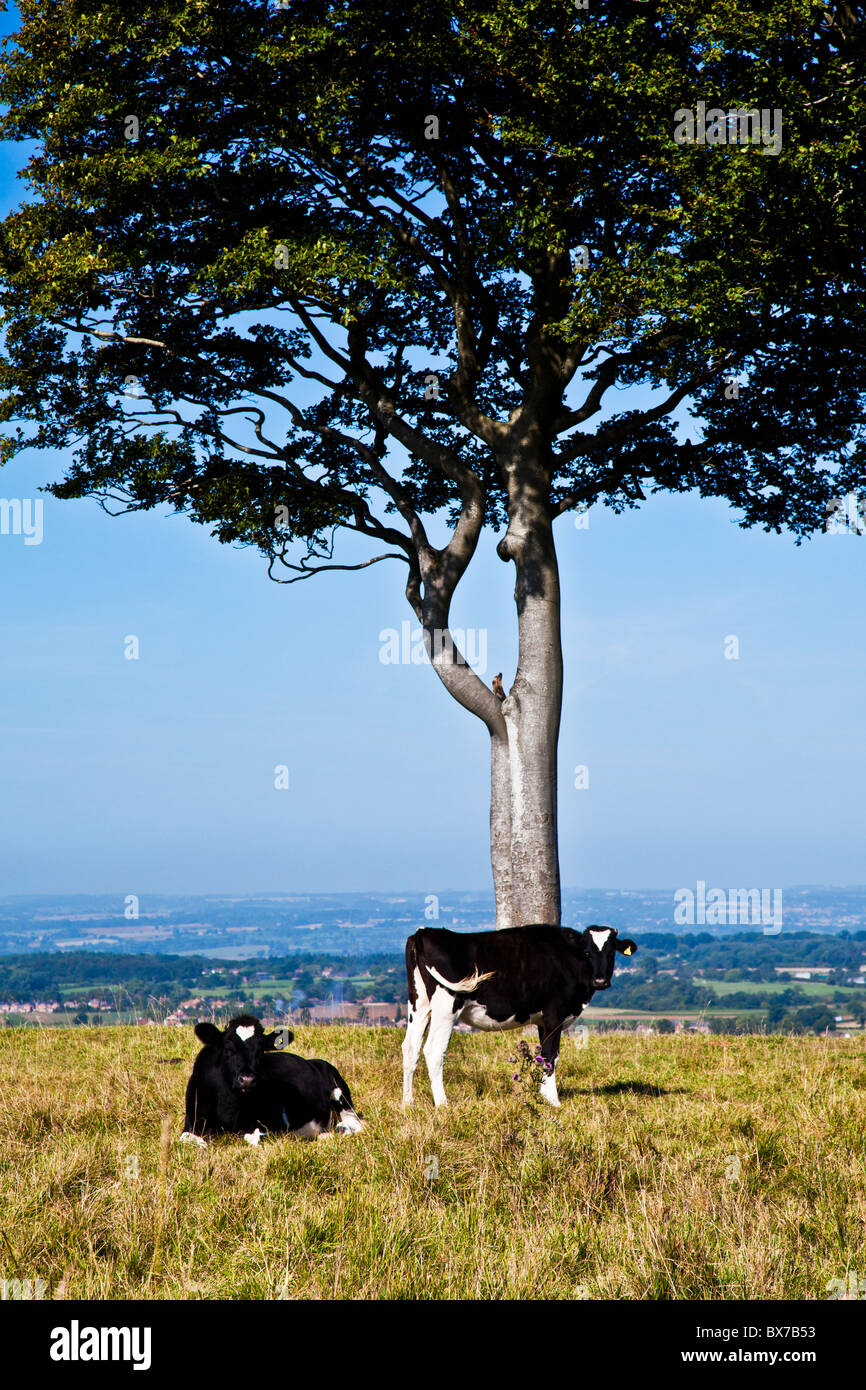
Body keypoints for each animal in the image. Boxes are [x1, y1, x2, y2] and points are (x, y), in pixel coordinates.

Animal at [179, 1017, 361, 1145]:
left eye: (260, 1050)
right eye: (228, 1048)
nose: (247, 1079)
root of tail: (316, 1061)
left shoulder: (273, 1127)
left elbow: (252, 1138)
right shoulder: (192, 1123)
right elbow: (187, 1139)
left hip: (341, 1095)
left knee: (356, 1124)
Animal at [403, 922, 639, 1106]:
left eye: (611, 952)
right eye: (588, 952)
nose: (600, 981)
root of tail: (425, 932)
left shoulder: (542, 1020)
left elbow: (542, 1056)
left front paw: (542, 1095)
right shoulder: (554, 1014)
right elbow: (550, 1055)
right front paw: (553, 1101)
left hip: (419, 1004)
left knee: (410, 1048)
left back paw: (408, 1103)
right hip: (446, 1006)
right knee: (433, 1050)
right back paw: (442, 1103)